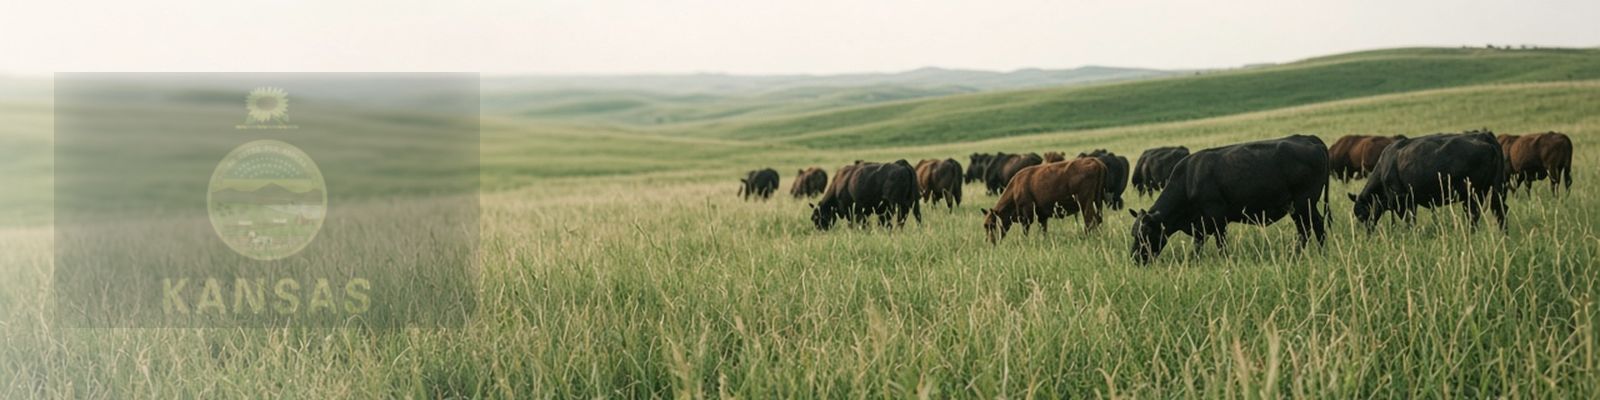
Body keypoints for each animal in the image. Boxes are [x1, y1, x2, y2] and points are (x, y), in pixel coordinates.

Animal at [1129, 135, 1331, 265]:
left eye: (1144, 234)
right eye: (1133, 233)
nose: (1135, 259)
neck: (1188, 179)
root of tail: (1311, 140)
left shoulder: (1217, 219)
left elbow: (1220, 245)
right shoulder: (1201, 226)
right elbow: (1198, 247)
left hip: (1304, 203)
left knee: (1316, 226)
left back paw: (1318, 254)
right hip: (1297, 207)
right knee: (1305, 230)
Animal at [1349, 131, 1509, 231]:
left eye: (1361, 214)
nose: (1367, 232)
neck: (1384, 167)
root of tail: (1485, 136)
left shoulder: (1402, 200)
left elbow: (1409, 220)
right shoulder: (1410, 201)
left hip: (1475, 192)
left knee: (1475, 214)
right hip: (1493, 190)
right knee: (1498, 210)